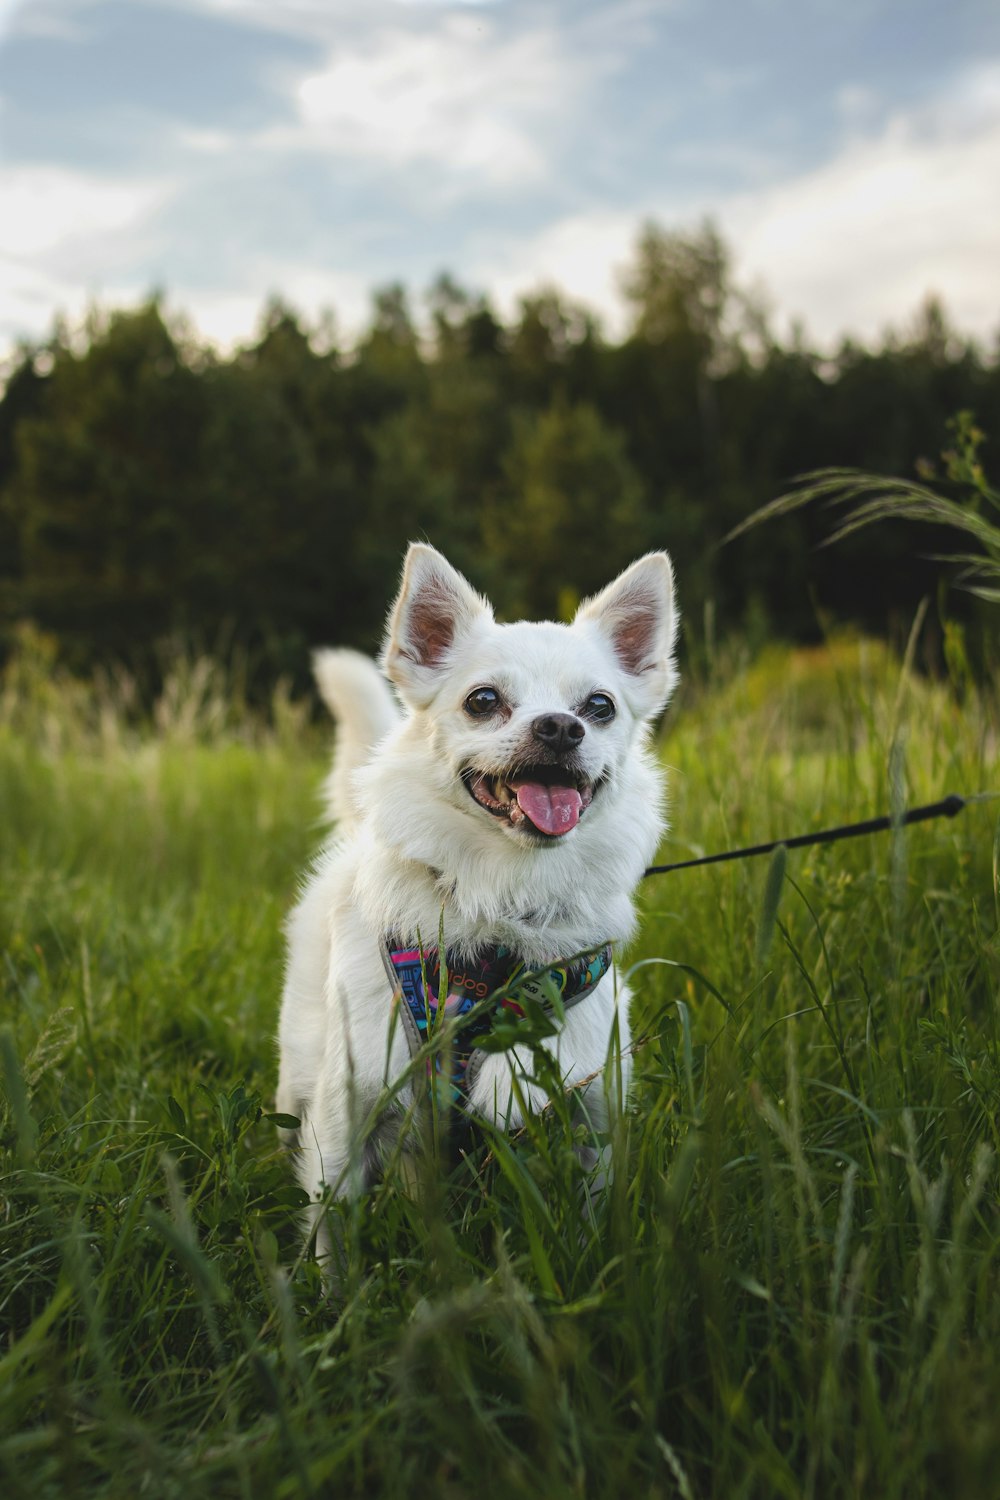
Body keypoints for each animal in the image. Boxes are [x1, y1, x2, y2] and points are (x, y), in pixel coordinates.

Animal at [277, 546, 677, 1248]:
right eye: (484, 700)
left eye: (599, 706)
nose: (561, 727)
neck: (505, 901)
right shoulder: (343, 1122)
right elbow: (332, 1235)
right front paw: (323, 1283)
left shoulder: (591, 1118)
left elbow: (591, 1226)